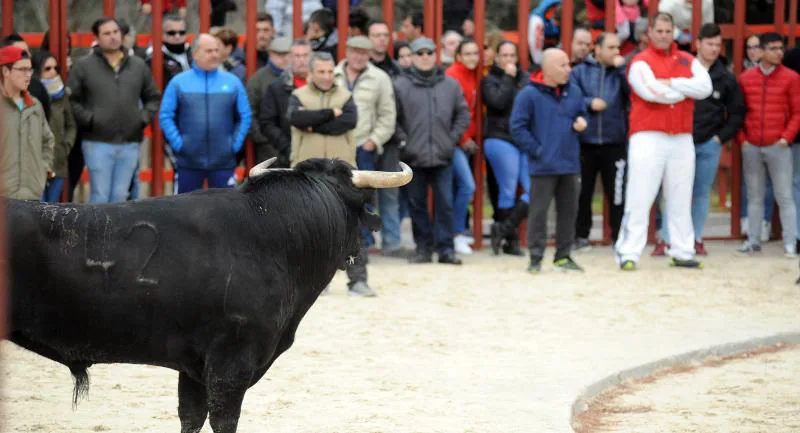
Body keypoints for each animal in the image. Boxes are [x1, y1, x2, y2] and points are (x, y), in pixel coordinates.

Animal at [7, 159, 412, 432]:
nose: (358, 252)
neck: (272, 237)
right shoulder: (230, 363)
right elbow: (222, 419)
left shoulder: (194, 368)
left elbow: (191, 417)